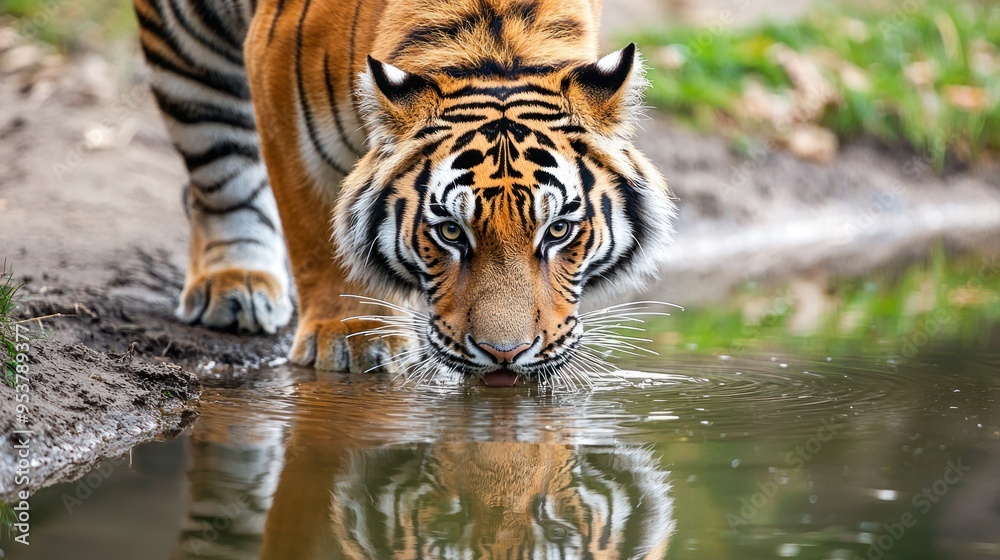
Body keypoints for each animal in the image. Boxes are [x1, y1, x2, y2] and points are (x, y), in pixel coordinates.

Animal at [133, 0, 677, 383]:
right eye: (451, 233)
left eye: (559, 230)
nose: (505, 355)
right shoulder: (280, 92)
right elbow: (317, 235)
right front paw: (351, 336)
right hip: (189, 54)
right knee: (220, 172)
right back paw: (236, 283)